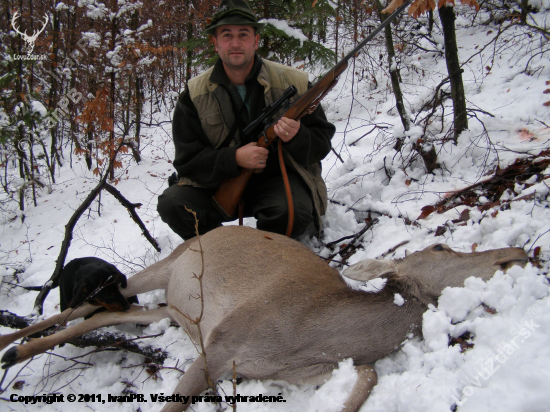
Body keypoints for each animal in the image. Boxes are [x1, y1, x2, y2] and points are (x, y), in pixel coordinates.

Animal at [0, 227, 532, 410]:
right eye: (441, 246)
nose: (520, 251)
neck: (306, 336)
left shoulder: (319, 368)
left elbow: (367, 379)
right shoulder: (221, 343)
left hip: (178, 308)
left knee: (108, 313)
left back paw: (15, 349)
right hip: (168, 265)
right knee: (88, 303)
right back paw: (13, 343)